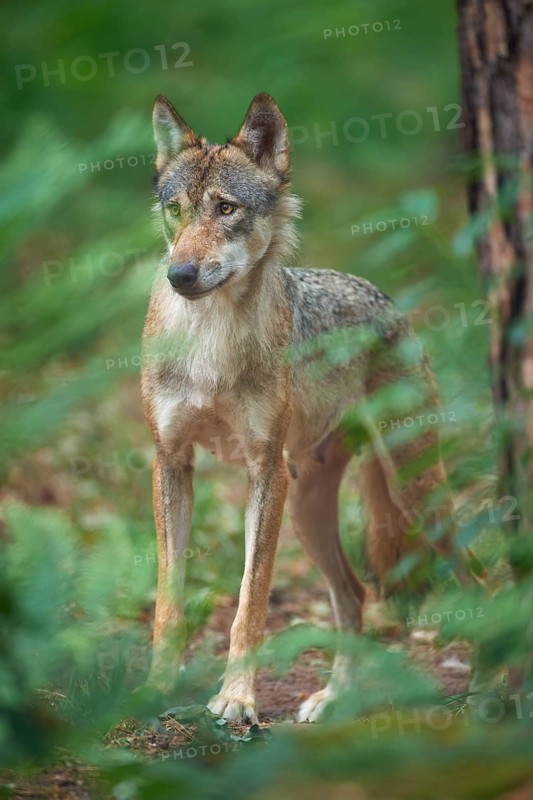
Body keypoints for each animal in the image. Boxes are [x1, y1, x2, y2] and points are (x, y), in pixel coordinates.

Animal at [141, 92, 458, 723]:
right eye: (177, 210)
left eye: (226, 208)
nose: (180, 274)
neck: (210, 342)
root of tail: (391, 304)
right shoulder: (172, 462)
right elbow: (169, 599)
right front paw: (154, 689)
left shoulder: (264, 471)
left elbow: (251, 602)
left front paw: (236, 700)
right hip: (310, 510)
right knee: (355, 594)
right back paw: (333, 699)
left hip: (411, 491)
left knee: (479, 572)